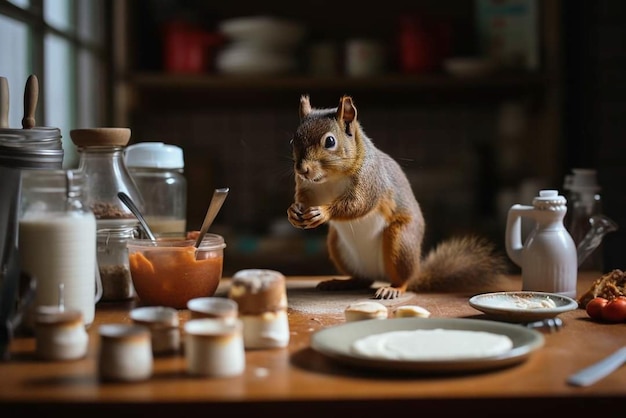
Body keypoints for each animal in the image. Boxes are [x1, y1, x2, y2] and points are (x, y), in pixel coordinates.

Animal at [288, 94, 508, 298]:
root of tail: (380, 274)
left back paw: (393, 289)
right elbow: (304, 199)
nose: (302, 169)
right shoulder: (307, 187)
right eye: (293, 140)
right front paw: (293, 211)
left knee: (402, 280)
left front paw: (323, 212)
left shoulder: (372, 180)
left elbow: (359, 204)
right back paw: (341, 282)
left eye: (330, 141)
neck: (330, 178)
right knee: (363, 279)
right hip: (337, 246)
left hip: (400, 240)